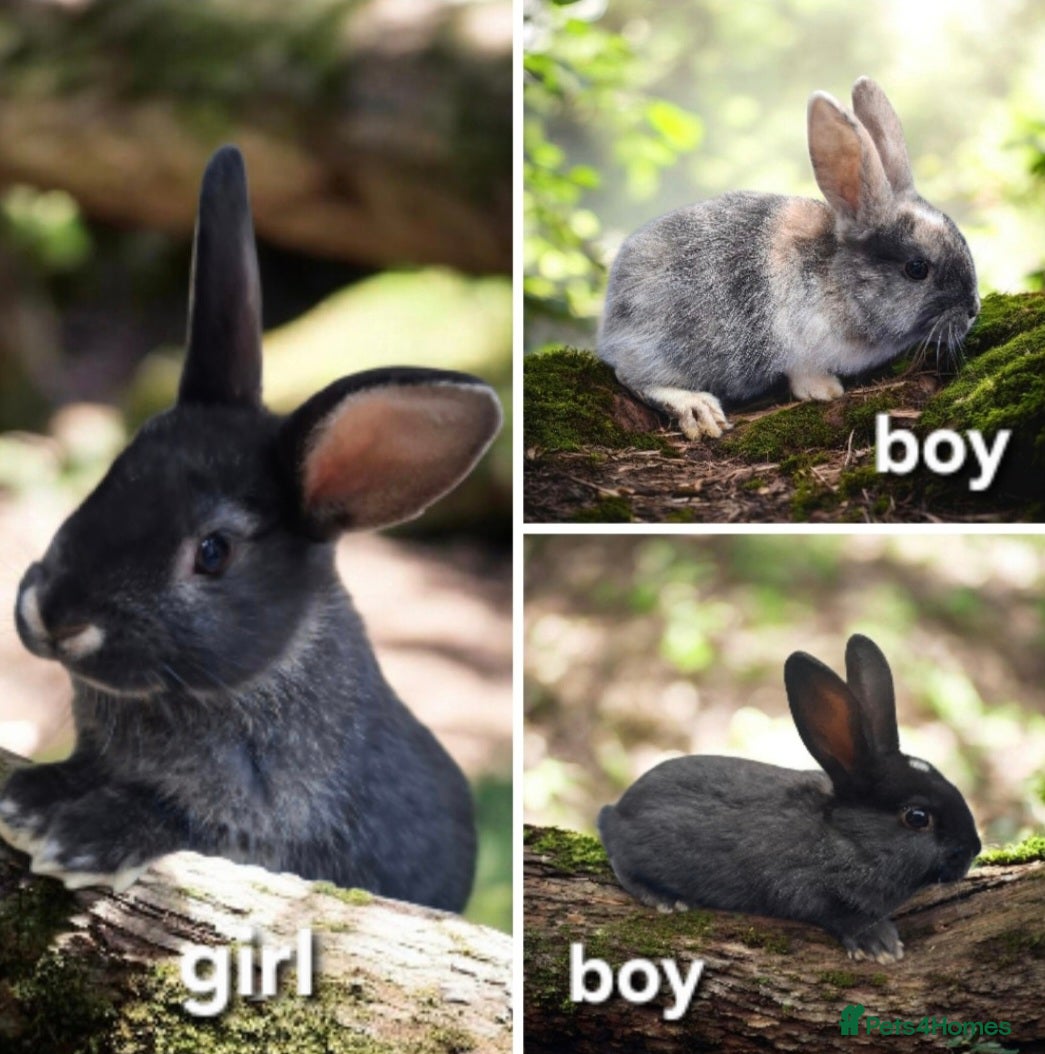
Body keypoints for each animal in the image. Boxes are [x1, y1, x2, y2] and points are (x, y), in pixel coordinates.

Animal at [0, 145, 502, 913]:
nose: (53, 617)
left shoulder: (266, 824)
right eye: (114, 473)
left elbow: (183, 819)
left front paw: (81, 840)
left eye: (213, 552)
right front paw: (27, 797)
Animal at [596, 77, 980, 439]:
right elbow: (803, 373)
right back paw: (697, 408)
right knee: (632, 376)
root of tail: (611, 318)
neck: (841, 283)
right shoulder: (800, 346)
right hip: (661, 346)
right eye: (917, 268)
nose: (973, 309)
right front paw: (825, 391)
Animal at [598, 635, 981, 962]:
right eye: (917, 817)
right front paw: (881, 946)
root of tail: (617, 810)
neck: (846, 839)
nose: (973, 849)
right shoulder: (809, 890)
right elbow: (841, 914)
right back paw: (666, 899)